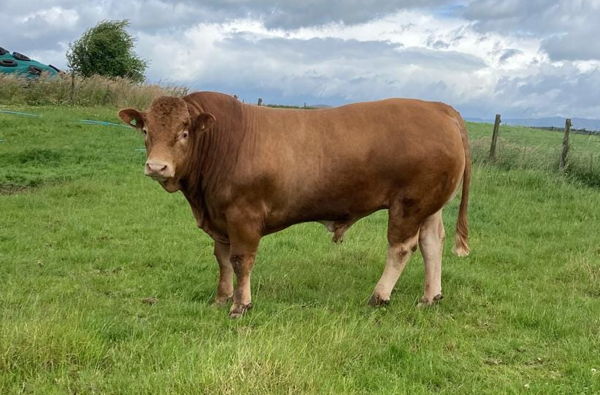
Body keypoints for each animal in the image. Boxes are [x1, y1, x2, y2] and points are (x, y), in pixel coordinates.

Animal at [117, 92, 472, 318]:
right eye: (146, 130)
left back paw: (379, 296)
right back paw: (429, 297)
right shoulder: (220, 219)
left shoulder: (243, 216)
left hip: (409, 204)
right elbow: (222, 259)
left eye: (185, 132)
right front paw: (220, 298)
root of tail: (437, 107)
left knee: (401, 248)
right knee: (431, 244)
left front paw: (240, 305)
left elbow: (241, 260)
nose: (157, 166)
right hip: (430, 204)